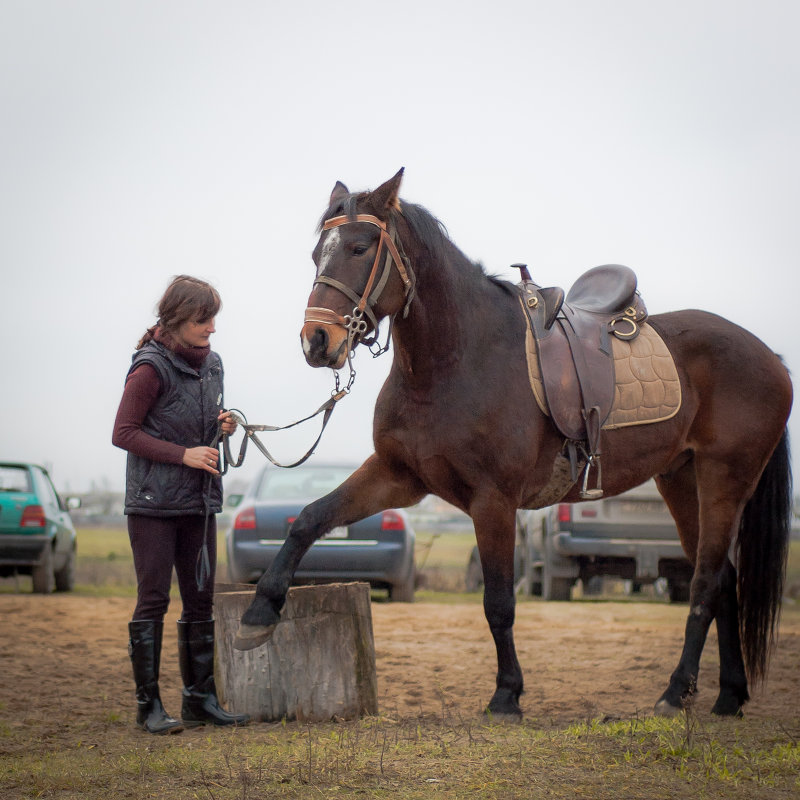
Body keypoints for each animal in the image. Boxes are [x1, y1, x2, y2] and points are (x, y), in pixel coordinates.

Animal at [234, 169, 792, 720]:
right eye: (317, 254)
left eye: (359, 248)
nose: (317, 341)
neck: (456, 361)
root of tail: (771, 357)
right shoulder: (397, 477)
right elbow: (310, 518)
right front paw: (260, 611)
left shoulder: (493, 500)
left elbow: (499, 602)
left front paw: (506, 694)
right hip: (680, 480)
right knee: (724, 581)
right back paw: (728, 695)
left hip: (723, 481)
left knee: (705, 582)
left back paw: (676, 693)